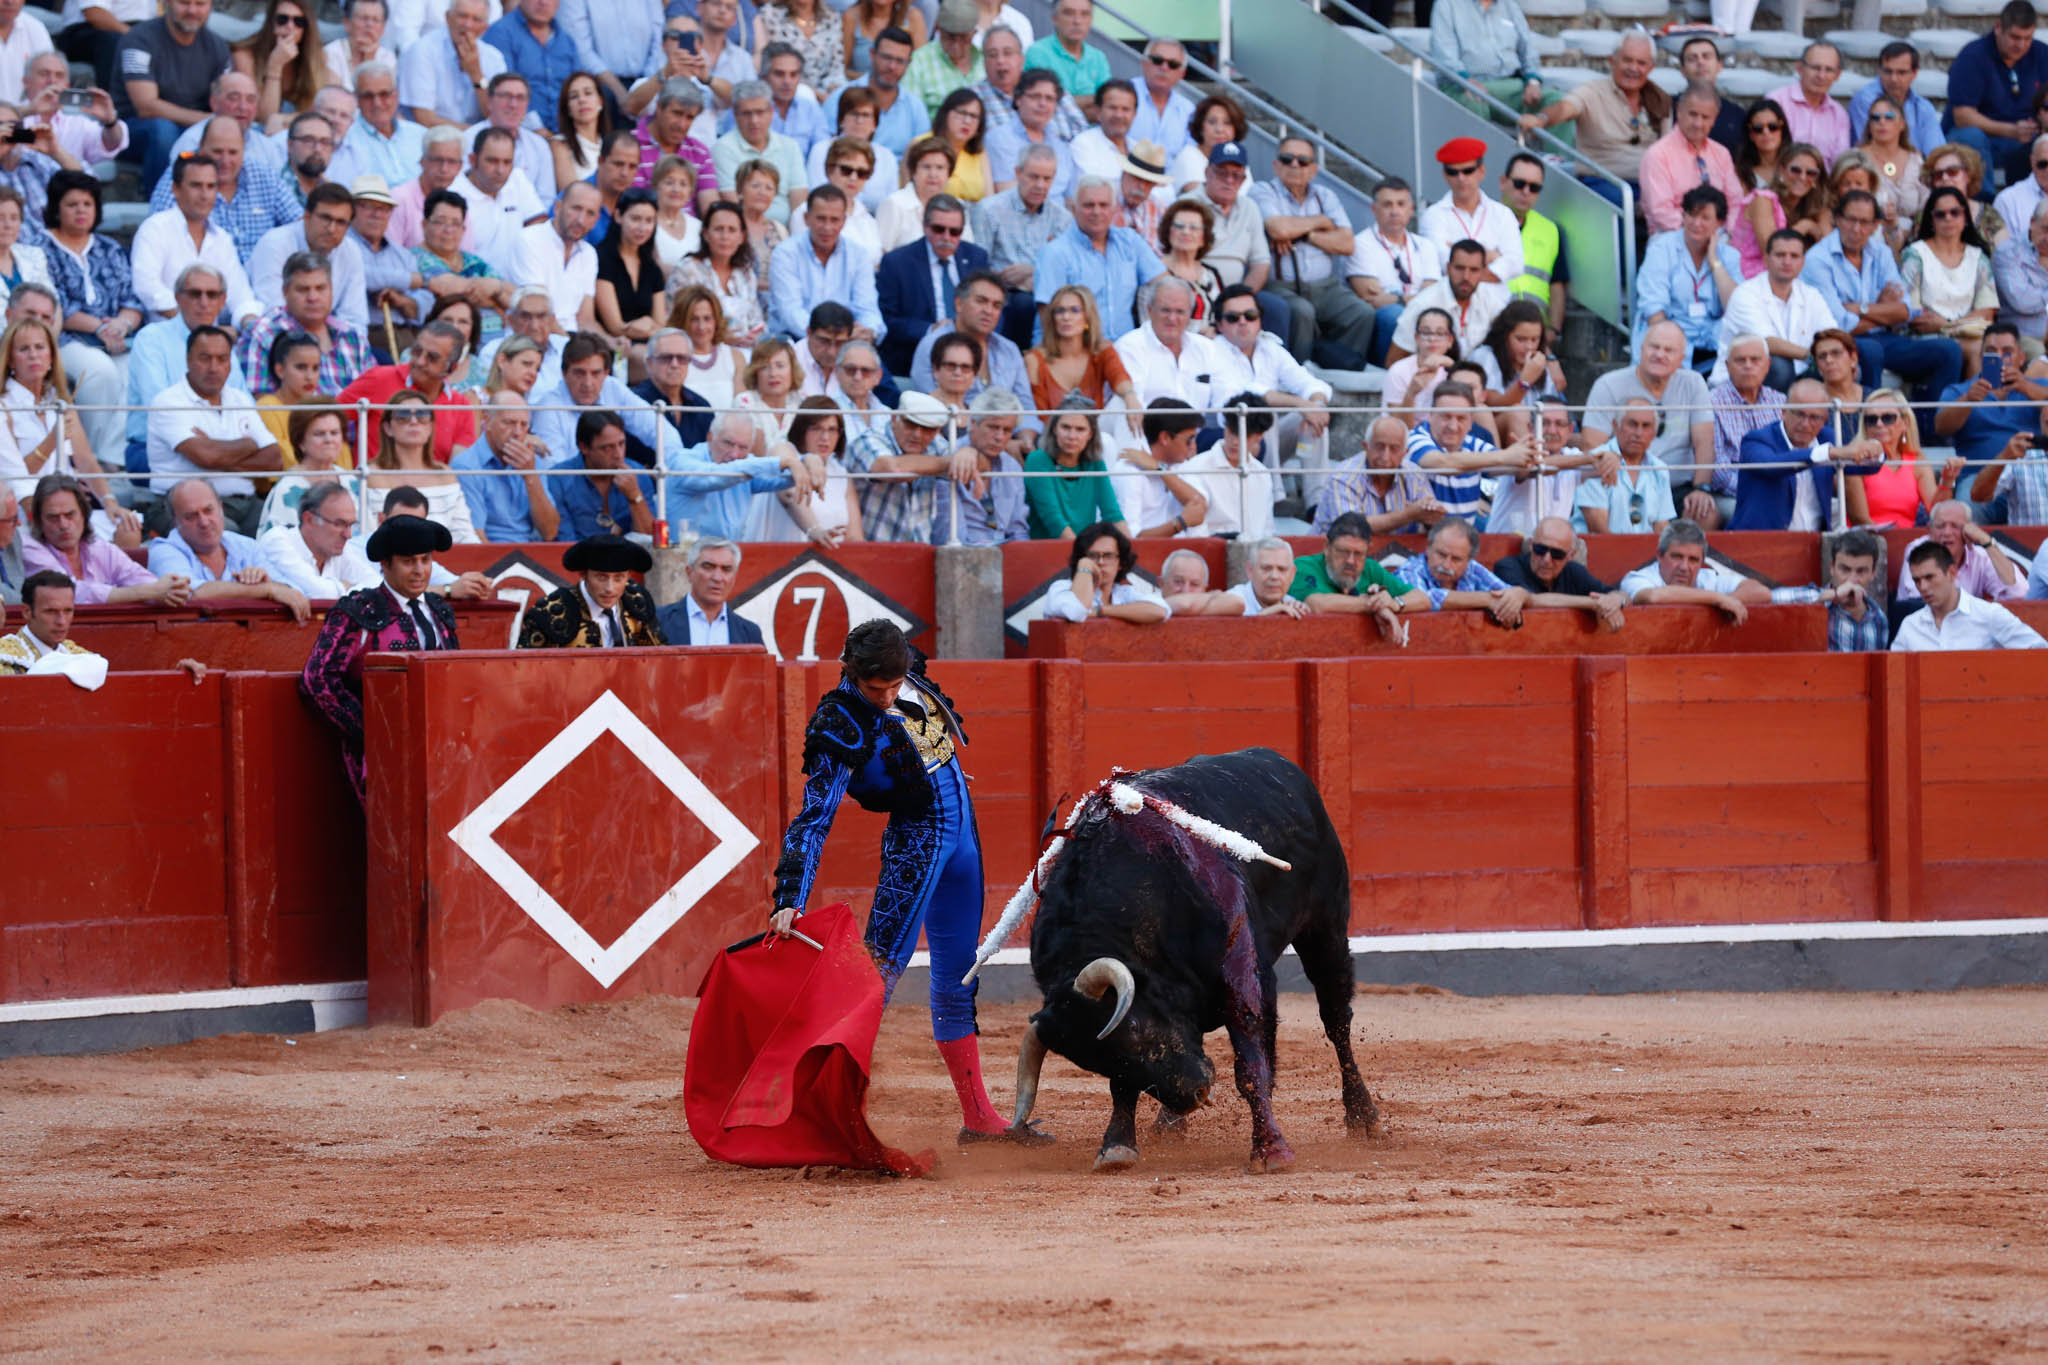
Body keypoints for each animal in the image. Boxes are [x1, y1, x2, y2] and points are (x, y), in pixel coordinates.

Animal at [966, 753, 1384, 1170]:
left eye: (1135, 1026)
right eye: (1092, 1062)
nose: (1193, 1095)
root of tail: (1279, 763)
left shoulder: (1238, 975)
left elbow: (1250, 1062)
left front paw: (1271, 1150)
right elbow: (1124, 1084)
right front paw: (1117, 1145)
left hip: (1325, 928)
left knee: (1336, 1021)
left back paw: (1363, 1118)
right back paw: (1169, 1123)